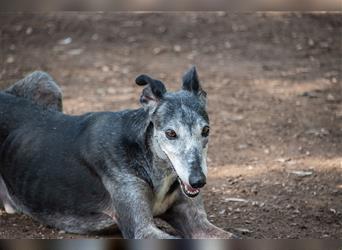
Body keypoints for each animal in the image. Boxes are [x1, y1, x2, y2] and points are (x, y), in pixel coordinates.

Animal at [0, 67, 235, 239]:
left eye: (206, 130)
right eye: (170, 133)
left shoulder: (195, 220)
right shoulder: (142, 230)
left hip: (44, 82)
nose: (198, 181)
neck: (147, 156)